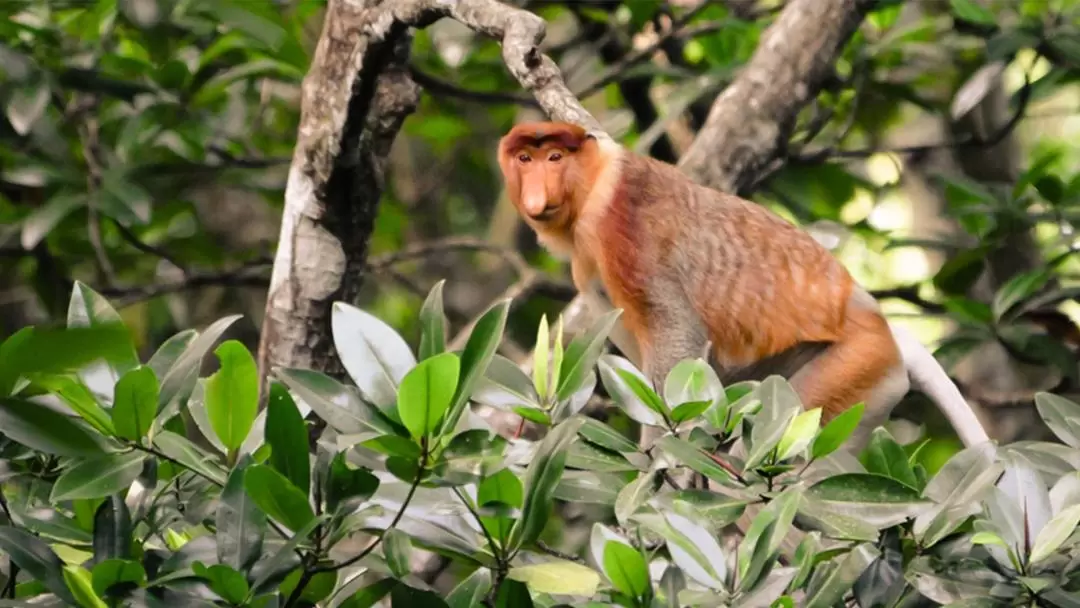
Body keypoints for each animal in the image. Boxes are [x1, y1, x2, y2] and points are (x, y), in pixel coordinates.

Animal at [496, 121, 989, 451]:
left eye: (555, 158)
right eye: (525, 159)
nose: (537, 194)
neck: (596, 183)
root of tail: (879, 322)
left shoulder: (622, 225)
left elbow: (678, 333)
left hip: (857, 368)